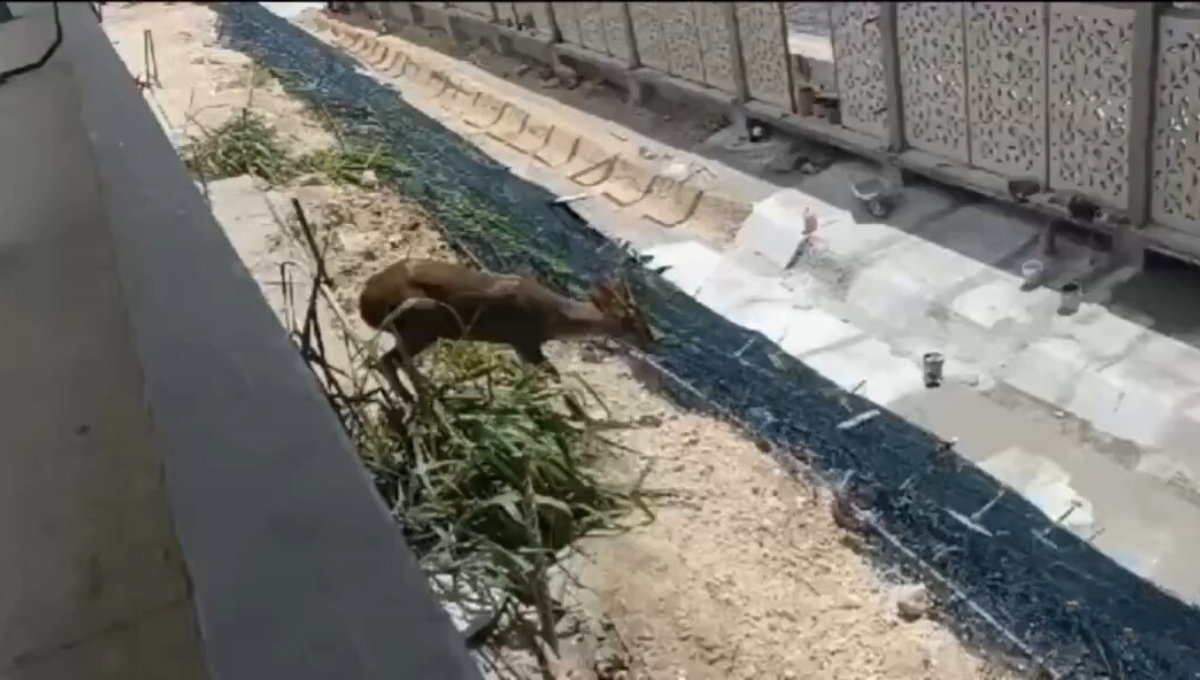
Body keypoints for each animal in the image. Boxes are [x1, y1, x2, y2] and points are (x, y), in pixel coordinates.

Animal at [357, 257, 657, 388]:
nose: (652, 341)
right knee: (389, 359)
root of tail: (365, 302)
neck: (554, 318)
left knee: (390, 359)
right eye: (634, 323)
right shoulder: (525, 340)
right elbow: (553, 375)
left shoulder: (522, 347)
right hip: (425, 319)